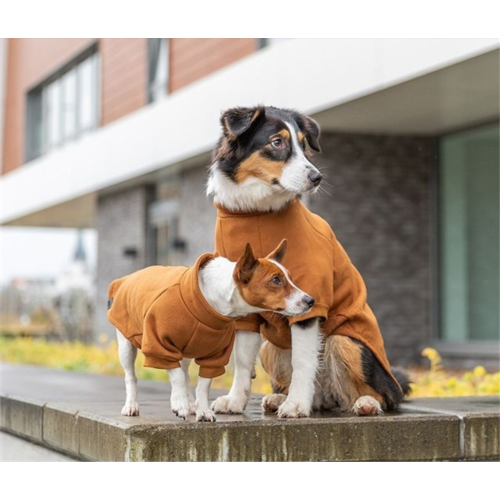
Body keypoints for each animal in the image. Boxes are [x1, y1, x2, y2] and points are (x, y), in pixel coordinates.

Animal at [109, 238, 312, 422]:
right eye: (276, 280)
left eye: (290, 278)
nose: (311, 300)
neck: (210, 298)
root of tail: (125, 279)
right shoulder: (159, 345)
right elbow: (176, 377)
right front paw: (180, 404)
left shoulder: (215, 355)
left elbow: (202, 385)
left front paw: (202, 410)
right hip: (126, 346)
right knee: (131, 377)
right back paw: (131, 406)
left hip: (187, 351)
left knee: (184, 372)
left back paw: (191, 404)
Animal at [207, 105, 410, 418]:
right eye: (277, 142)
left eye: (303, 146)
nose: (317, 178)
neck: (256, 212)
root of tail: (328, 398)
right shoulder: (243, 303)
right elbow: (241, 360)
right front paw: (236, 401)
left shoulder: (309, 301)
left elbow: (303, 362)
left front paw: (296, 405)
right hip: (270, 347)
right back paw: (281, 398)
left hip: (347, 342)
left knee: (383, 396)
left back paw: (365, 403)